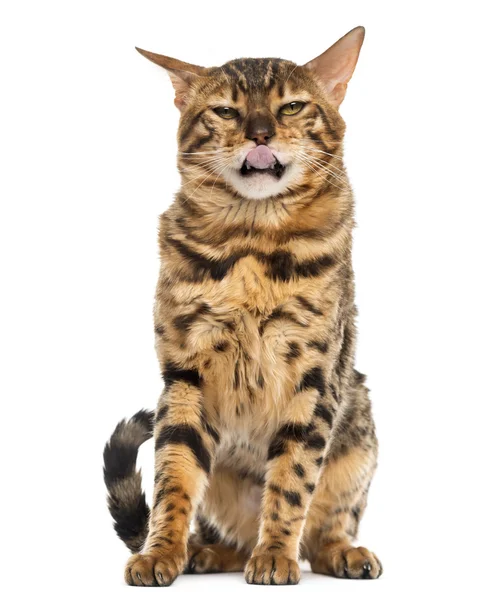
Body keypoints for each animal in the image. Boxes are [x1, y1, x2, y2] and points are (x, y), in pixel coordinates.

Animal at [103, 25, 382, 584]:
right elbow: (173, 478)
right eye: (226, 111)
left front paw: (274, 553)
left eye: (292, 106)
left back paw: (338, 551)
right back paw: (204, 552)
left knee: (324, 529)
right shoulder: (184, 375)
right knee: (226, 533)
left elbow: (292, 480)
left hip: (359, 430)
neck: (253, 237)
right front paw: (161, 551)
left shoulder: (314, 375)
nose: (260, 134)